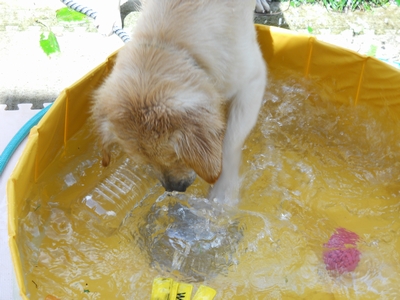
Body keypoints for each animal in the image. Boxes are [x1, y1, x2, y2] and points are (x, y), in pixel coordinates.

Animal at [92, 0, 268, 204]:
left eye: (177, 157)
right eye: (147, 163)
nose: (174, 189)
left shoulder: (253, 80)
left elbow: (230, 143)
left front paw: (223, 191)